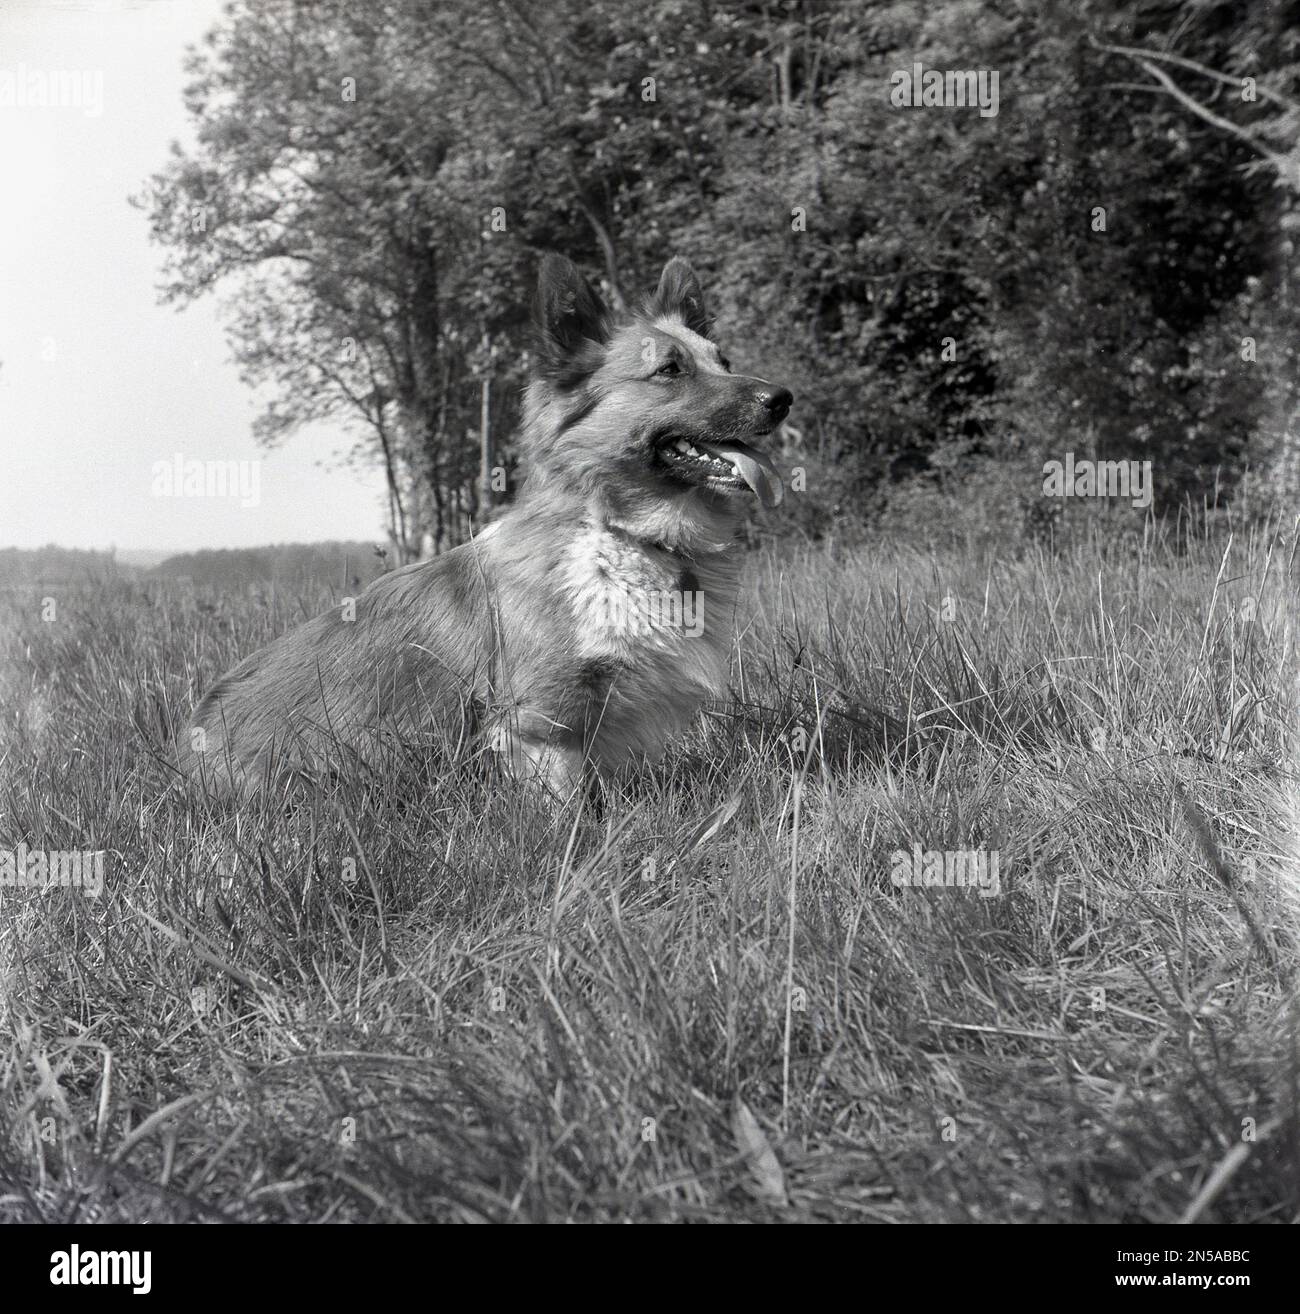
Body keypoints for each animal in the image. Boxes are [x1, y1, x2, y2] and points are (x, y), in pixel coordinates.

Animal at [180, 250, 793, 793]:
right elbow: (566, 810)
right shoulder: (542, 722)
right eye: (669, 370)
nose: (783, 397)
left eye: (724, 361)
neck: (616, 532)